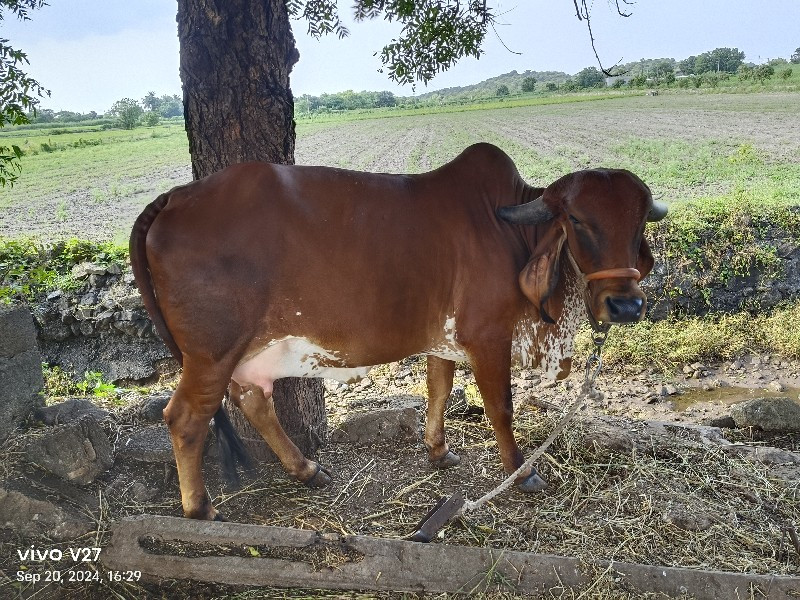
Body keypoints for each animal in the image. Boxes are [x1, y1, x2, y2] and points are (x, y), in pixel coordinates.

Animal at [131, 143, 664, 516]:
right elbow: (501, 408)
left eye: (640, 222)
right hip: (212, 353)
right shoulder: (487, 336)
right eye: (577, 219)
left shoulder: (446, 341)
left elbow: (439, 390)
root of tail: (176, 196)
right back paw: (200, 508)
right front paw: (520, 472)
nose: (626, 304)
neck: (512, 229)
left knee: (253, 402)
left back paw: (307, 470)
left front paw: (438, 451)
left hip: (245, 352)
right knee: (185, 417)